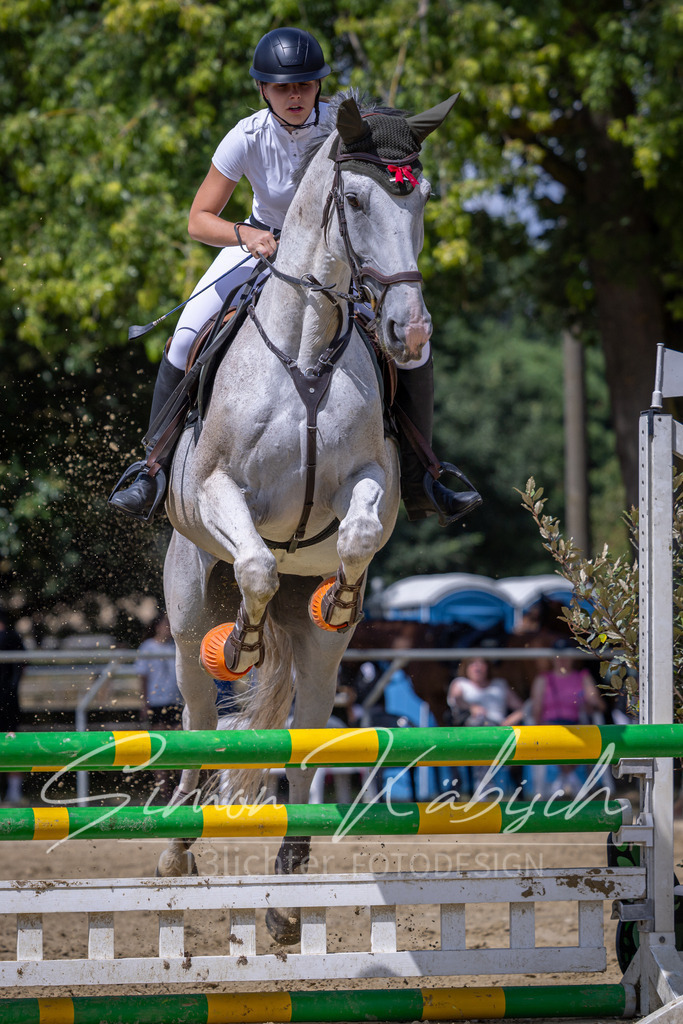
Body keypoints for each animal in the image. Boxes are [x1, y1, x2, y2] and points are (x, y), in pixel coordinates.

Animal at [155, 91, 459, 945]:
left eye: (422, 199)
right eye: (353, 200)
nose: (409, 334)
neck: (306, 348)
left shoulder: (371, 486)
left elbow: (356, 532)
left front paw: (345, 592)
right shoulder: (218, 492)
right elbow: (257, 560)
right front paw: (244, 641)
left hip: (325, 662)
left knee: (305, 732)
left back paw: (288, 897)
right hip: (186, 611)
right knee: (198, 716)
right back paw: (179, 847)